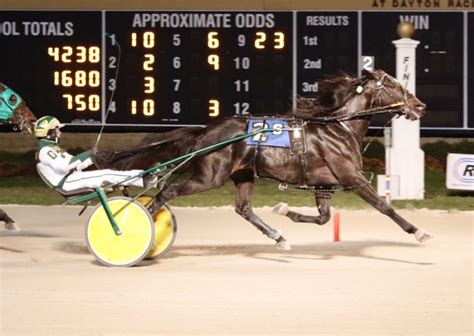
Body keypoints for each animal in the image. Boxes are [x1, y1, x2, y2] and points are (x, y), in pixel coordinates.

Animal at [93, 70, 434, 249]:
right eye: (394, 85)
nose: (420, 105)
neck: (339, 127)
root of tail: (208, 130)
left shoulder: (324, 183)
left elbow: (324, 217)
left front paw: (285, 211)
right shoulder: (352, 178)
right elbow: (385, 207)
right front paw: (418, 231)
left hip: (243, 174)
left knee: (243, 208)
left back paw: (278, 236)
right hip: (210, 176)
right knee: (168, 192)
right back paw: (137, 226)